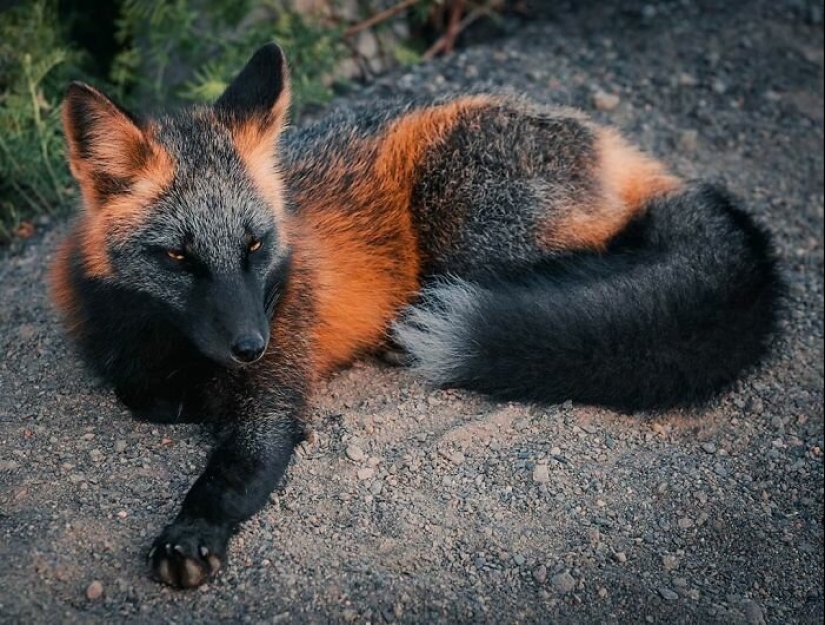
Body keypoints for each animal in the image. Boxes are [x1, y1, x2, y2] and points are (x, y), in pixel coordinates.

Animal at [49, 43, 782, 588]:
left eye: (255, 246)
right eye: (178, 256)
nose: (251, 344)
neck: (170, 346)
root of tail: (609, 140)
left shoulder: (276, 392)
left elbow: (231, 472)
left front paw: (191, 532)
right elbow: (143, 396)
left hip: (467, 228)